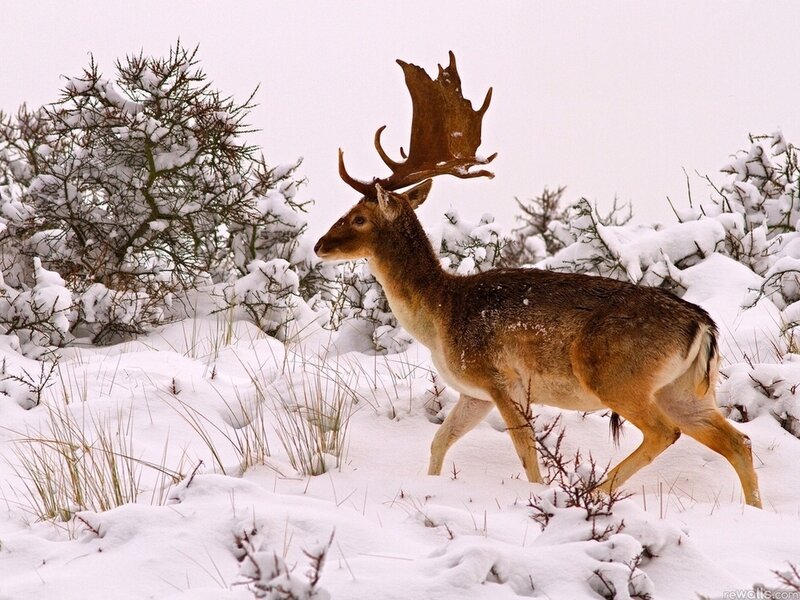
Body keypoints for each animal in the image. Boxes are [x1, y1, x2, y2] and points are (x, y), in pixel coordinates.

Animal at [314, 52, 762, 508]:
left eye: (358, 217)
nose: (319, 245)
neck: (440, 316)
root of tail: (702, 325)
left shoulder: (499, 378)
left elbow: (525, 450)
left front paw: (536, 492)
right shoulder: (473, 392)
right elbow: (439, 441)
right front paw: (432, 487)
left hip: (619, 377)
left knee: (664, 432)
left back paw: (594, 492)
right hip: (687, 391)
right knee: (738, 441)